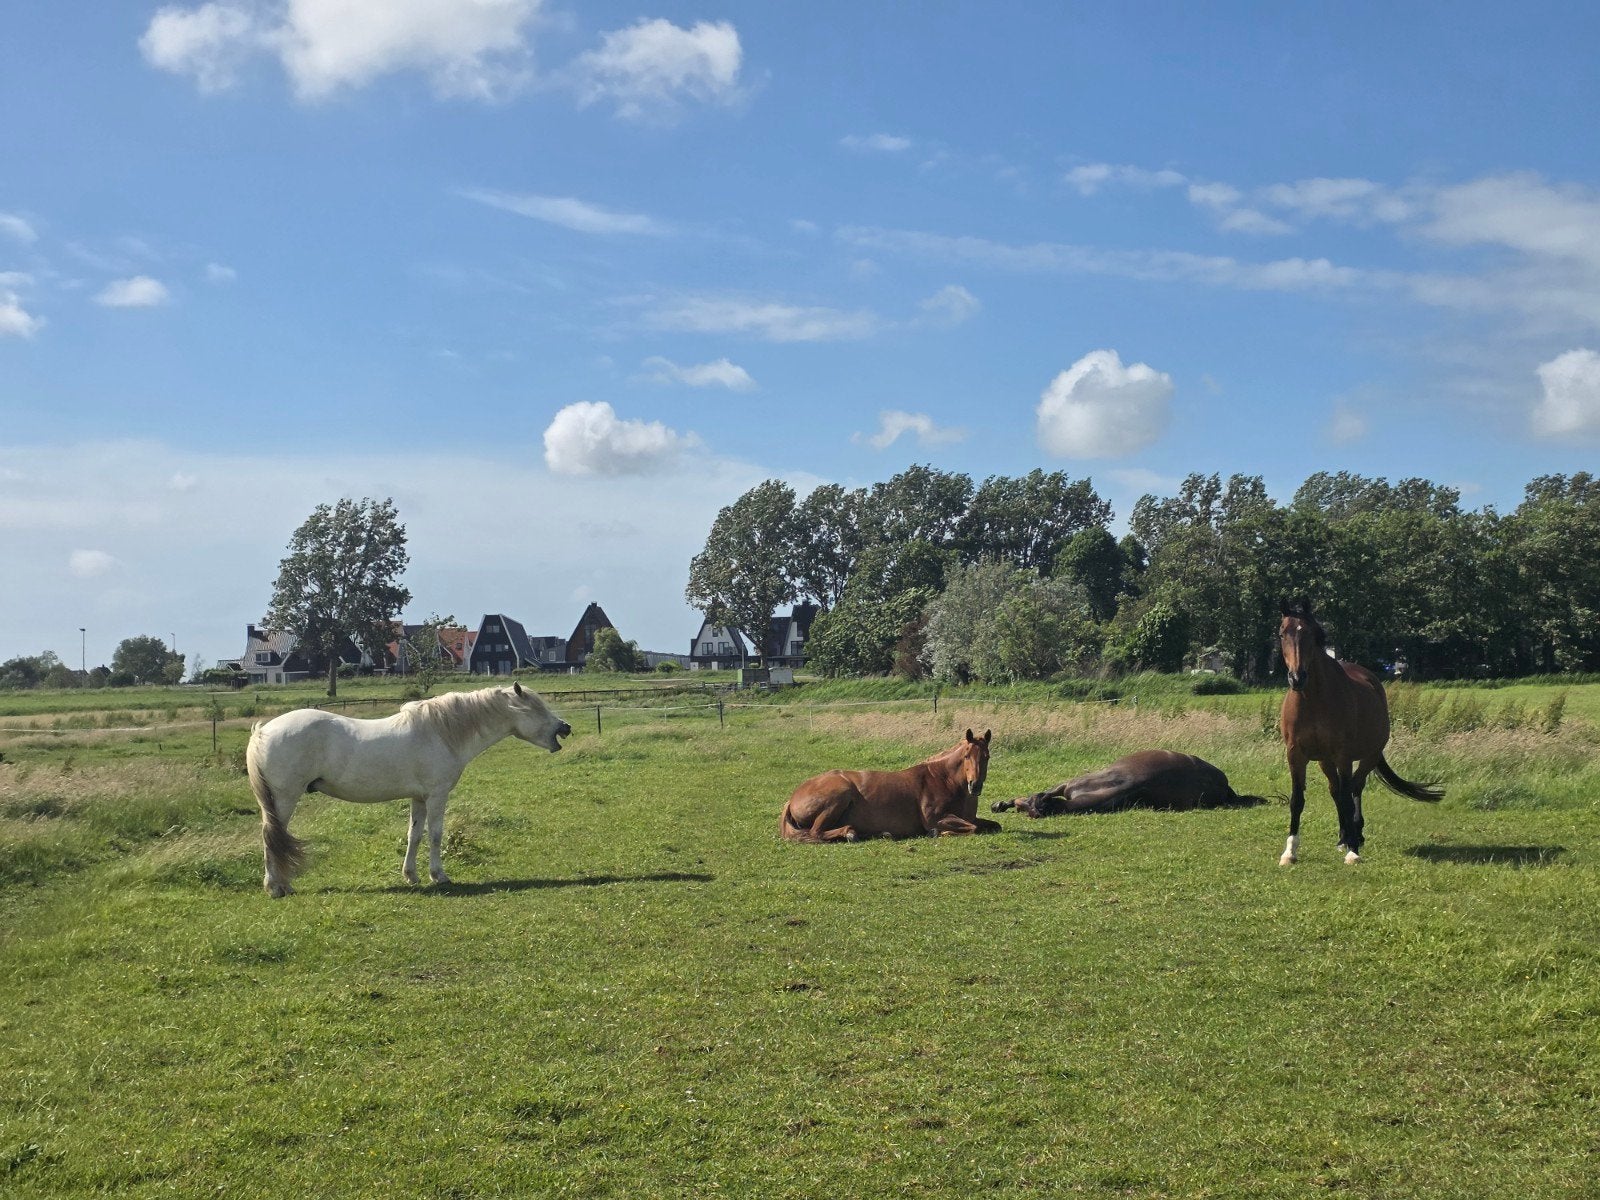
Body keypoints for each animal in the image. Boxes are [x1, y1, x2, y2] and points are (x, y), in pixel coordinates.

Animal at [246, 682, 571, 897]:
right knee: (270, 836)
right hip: (284, 798)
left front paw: (411, 875)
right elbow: (436, 834)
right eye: (536, 708)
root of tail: (263, 731)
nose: (565, 727)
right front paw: (439, 875)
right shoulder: (438, 795)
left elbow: (414, 835)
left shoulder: (419, 798)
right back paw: (276, 887)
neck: (441, 732)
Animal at [780, 729, 998, 842]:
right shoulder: (935, 819)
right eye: (967, 756)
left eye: (987, 757)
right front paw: (939, 833)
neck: (943, 779)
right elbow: (972, 828)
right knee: (816, 832)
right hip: (839, 796)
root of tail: (792, 799)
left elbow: (995, 825)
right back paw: (850, 833)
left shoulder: (970, 817)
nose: (975, 786)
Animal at [1278, 599, 1441, 866]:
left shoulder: (1343, 756)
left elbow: (1347, 797)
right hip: (1325, 761)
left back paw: (1355, 834)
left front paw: (1353, 850)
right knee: (1336, 791)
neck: (1313, 700)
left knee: (1354, 787)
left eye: (1311, 634)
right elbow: (1297, 800)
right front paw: (1290, 852)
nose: (1297, 678)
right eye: (1282, 634)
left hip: (1369, 756)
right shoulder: (1296, 755)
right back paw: (1343, 836)